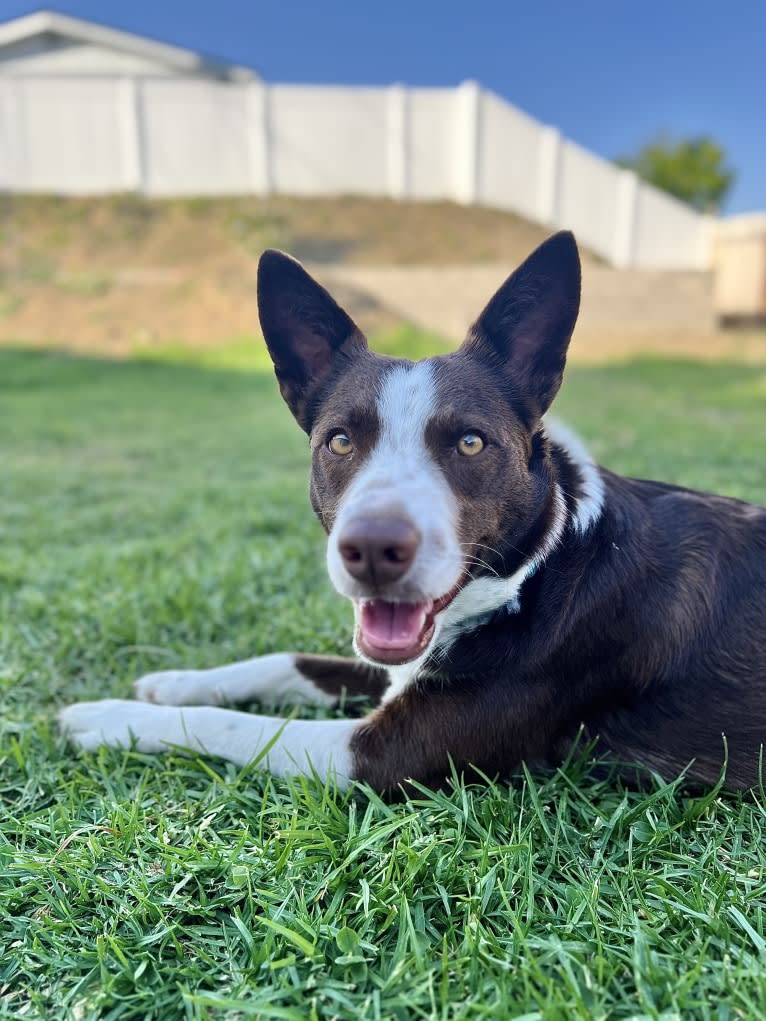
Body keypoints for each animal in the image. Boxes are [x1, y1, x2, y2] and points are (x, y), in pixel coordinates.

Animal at [60, 234, 766, 792]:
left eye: (471, 443)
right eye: (340, 441)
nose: (372, 551)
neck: (542, 569)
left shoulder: (384, 755)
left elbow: (240, 726)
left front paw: (108, 718)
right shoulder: (395, 669)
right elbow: (284, 662)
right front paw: (175, 680)